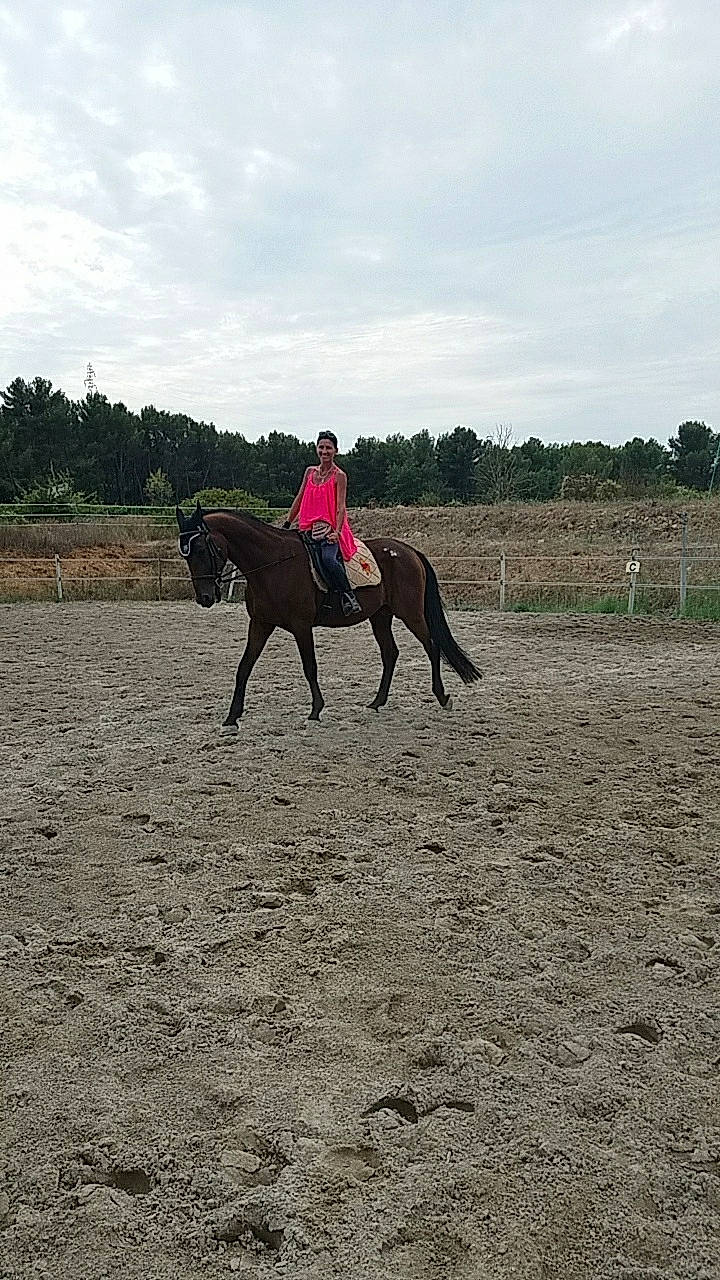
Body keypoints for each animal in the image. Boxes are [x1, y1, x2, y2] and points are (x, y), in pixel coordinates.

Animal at [176, 503, 481, 731]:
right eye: (185, 555)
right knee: (390, 653)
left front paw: (315, 711)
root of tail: (408, 550)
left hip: (411, 614)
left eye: (201, 549)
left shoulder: (301, 626)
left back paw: (442, 696)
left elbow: (309, 667)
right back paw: (377, 702)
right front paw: (231, 718)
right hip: (380, 616)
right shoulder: (260, 624)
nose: (205, 598)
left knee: (432, 646)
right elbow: (244, 667)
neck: (272, 564)